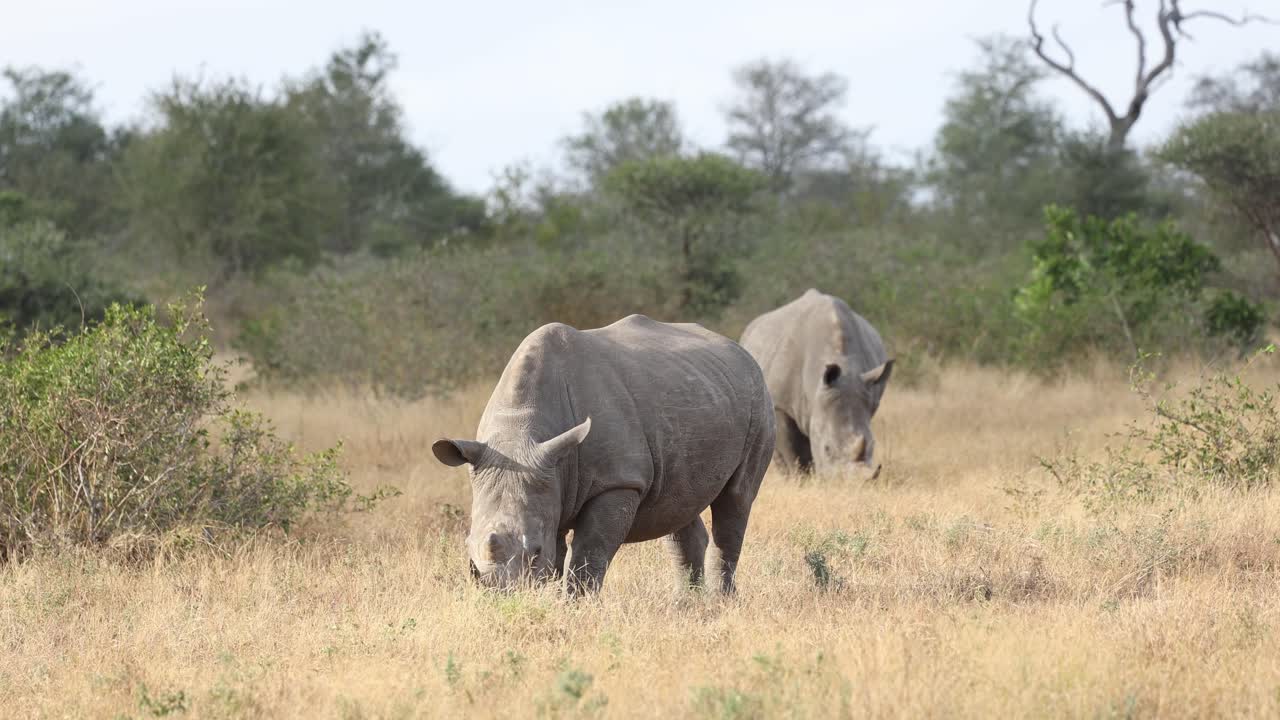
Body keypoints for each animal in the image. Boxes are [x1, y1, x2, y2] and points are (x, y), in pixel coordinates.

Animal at [432, 315, 775, 595]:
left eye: (536, 552)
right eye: (467, 549)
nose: (501, 597)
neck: (520, 433)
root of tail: (739, 348)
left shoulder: (616, 481)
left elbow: (589, 553)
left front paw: (575, 607)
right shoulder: (549, 473)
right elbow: (559, 557)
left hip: (758, 399)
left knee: (736, 498)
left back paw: (721, 602)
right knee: (677, 503)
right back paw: (686, 605)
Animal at [739, 289, 893, 476]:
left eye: (873, 446)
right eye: (827, 449)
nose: (854, 481)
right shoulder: (780, 405)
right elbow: (792, 449)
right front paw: (801, 477)